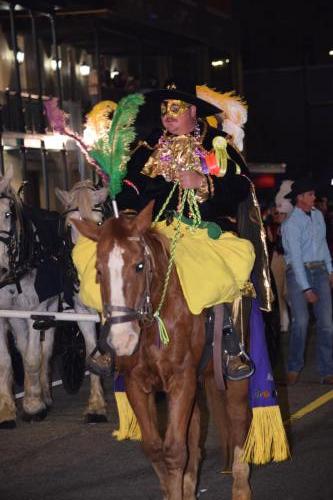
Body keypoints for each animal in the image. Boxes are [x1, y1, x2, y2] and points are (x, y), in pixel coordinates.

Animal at [72, 202, 249, 500]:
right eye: (98, 271)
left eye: (139, 266)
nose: (122, 340)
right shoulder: (137, 384)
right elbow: (155, 448)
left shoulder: (181, 380)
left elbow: (174, 451)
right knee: (195, 436)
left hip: (234, 382)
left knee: (238, 424)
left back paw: (240, 487)